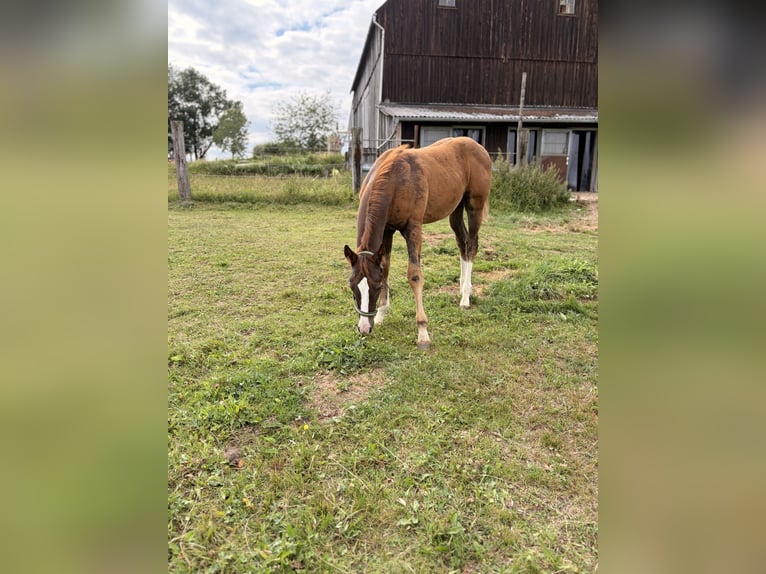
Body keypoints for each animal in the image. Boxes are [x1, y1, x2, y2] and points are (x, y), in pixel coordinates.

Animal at [343, 136, 492, 349]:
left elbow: (414, 275)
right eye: (352, 286)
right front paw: (381, 314)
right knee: (462, 243)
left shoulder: (413, 228)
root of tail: (478, 147)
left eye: (376, 287)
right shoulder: (387, 231)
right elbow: (385, 268)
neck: (394, 179)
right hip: (455, 208)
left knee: (471, 245)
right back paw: (462, 288)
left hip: (474, 206)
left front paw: (423, 332)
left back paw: (465, 297)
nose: (364, 328)